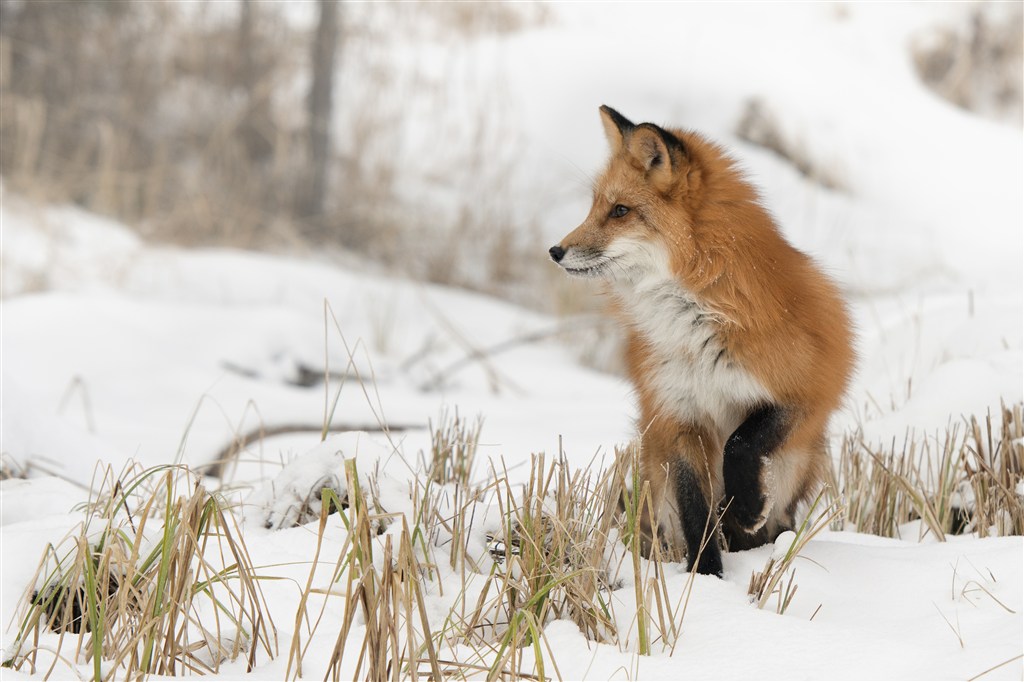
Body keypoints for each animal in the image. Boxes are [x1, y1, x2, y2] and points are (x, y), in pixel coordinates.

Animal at [552, 106, 856, 573]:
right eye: (595, 207)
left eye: (620, 210)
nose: (555, 251)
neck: (694, 324)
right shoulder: (678, 415)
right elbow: (696, 512)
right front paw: (706, 577)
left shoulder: (805, 393)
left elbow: (740, 442)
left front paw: (745, 507)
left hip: (794, 464)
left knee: (778, 520)